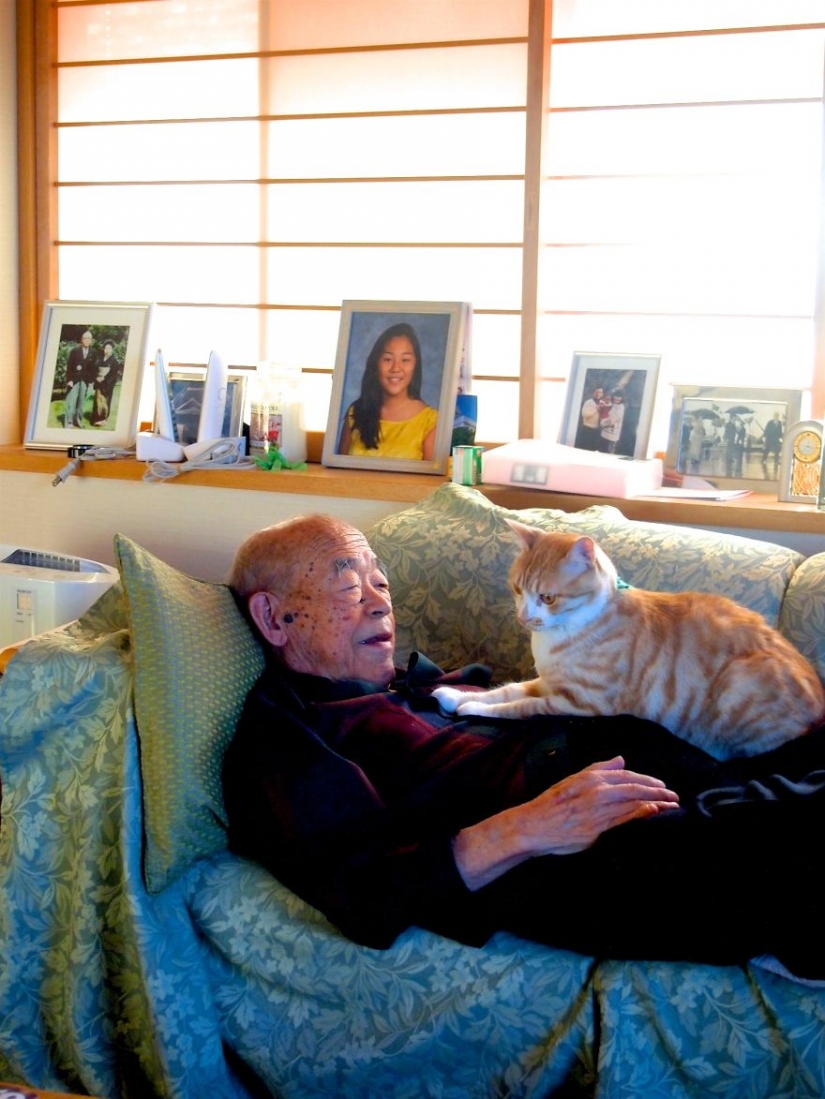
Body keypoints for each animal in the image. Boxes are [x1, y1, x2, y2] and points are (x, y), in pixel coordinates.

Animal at [432, 518, 825, 760]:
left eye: (547, 597)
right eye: (517, 590)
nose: (523, 617)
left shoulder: (580, 703)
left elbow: (518, 708)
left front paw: (473, 708)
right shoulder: (547, 681)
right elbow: (508, 690)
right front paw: (455, 695)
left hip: (738, 685)